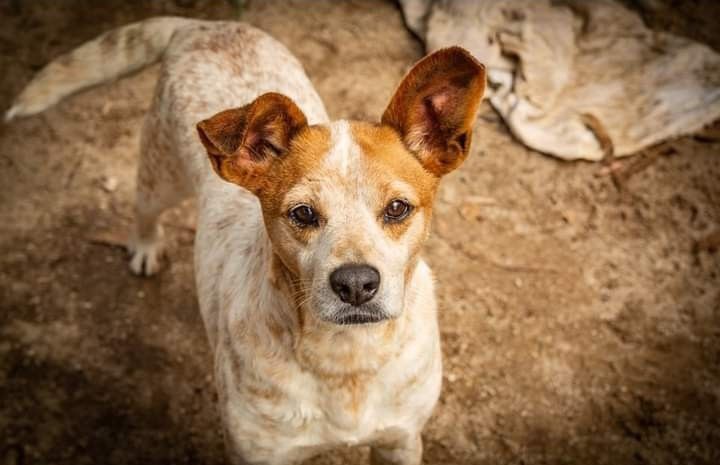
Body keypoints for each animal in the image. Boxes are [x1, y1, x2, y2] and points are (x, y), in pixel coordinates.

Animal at [5, 16, 486, 462]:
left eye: (398, 208)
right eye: (303, 213)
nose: (355, 285)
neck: (346, 360)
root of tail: (203, 25)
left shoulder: (400, 441)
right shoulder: (256, 452)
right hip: (160, 171)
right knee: (144, 205)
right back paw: (144, 247)